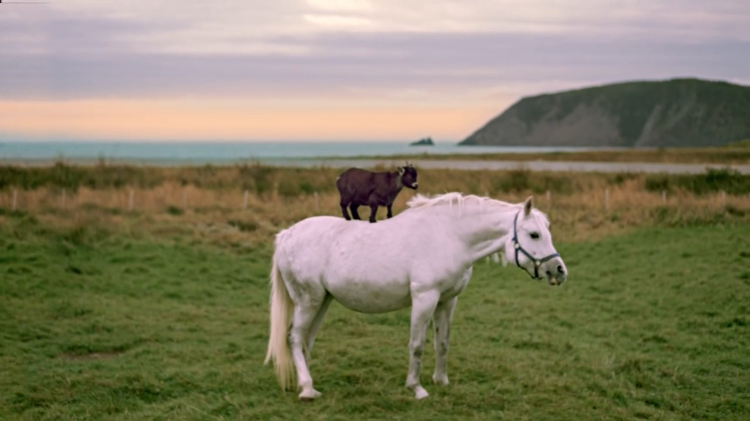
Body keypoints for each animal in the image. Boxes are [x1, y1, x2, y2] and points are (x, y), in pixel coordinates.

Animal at [262, 192, 568, 398]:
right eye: (534, 234)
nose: (559, 270)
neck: (449, 236)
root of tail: (287, 235)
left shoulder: (447, 300)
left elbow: (442, 343)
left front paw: (441, 380)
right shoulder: (424, 298)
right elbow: (417, 345)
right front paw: (416, 388)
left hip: (321, 301)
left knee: (305, 340)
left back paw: (305, 382)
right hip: (308, 300)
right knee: (295, 338)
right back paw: (307, 389)